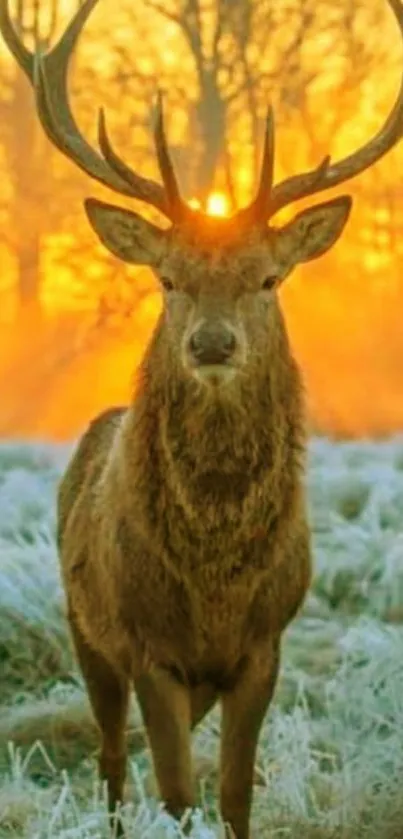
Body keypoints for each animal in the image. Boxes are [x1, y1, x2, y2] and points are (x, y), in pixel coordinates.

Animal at [2, 0, 403, 836]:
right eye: (167, 276)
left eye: (269, 276)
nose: (212, 341)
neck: (214, 580)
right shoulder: (149, 646)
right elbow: (178, 793)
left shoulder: (263, 646)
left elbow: (234, 790)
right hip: (84, 624)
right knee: (112, 758)